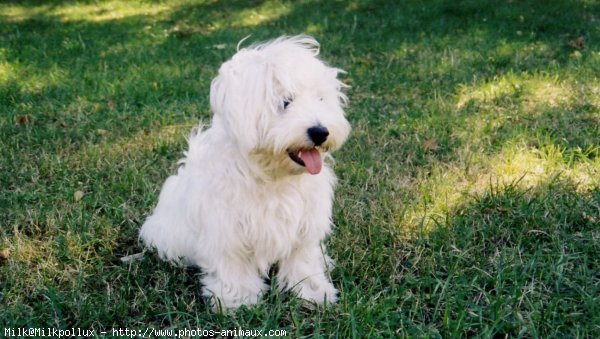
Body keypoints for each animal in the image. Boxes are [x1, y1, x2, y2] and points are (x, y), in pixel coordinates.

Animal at [140, 35, 352, 310]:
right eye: (285, 102)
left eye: (320, 100)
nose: (320, 132)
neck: (272, 176)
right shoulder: (226, 230)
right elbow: (234, 266)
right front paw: (238, 299)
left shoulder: (304, 225)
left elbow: (301, 259)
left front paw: (312, 290)